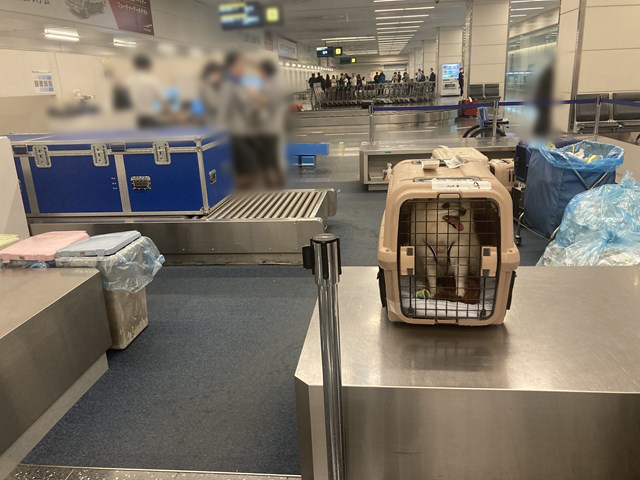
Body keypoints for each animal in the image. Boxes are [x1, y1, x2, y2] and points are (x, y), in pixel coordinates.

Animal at [380, 158, 520, 326]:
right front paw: (434, 292)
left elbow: (459, 279)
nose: (464, 211)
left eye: (460, 204)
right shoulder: (429, 261)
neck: (442, 233)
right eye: (445, 205)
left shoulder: (459, 259)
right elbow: (432, 279)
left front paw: (460, 293)